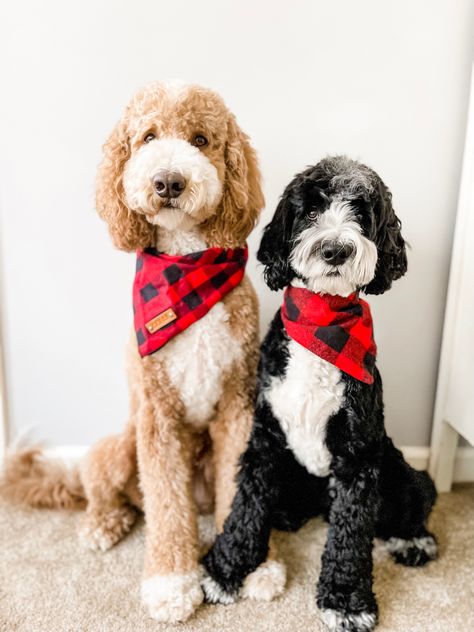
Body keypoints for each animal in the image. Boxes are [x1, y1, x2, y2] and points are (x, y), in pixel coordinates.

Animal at [0, 82, 286, 624]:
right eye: (148, 137)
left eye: (200, 139)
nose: (169, 181)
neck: (187, 267)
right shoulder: (158, 417)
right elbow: (167, 508)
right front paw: (171, 585)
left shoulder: (236, 408)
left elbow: (242, 491)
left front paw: (257, 565)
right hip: (117, 448)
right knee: (106, 492)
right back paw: (103, 523)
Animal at [202, 154, 438, 632]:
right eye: (310, 210)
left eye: (362, 213)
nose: (335, 249)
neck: (321, 325)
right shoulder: (265, 439)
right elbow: (245, 507)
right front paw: (226, 569)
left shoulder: (359, 457)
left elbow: (351, 536)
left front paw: (346, 600)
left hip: (398, 468)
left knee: (416, 502)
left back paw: (413, 542)